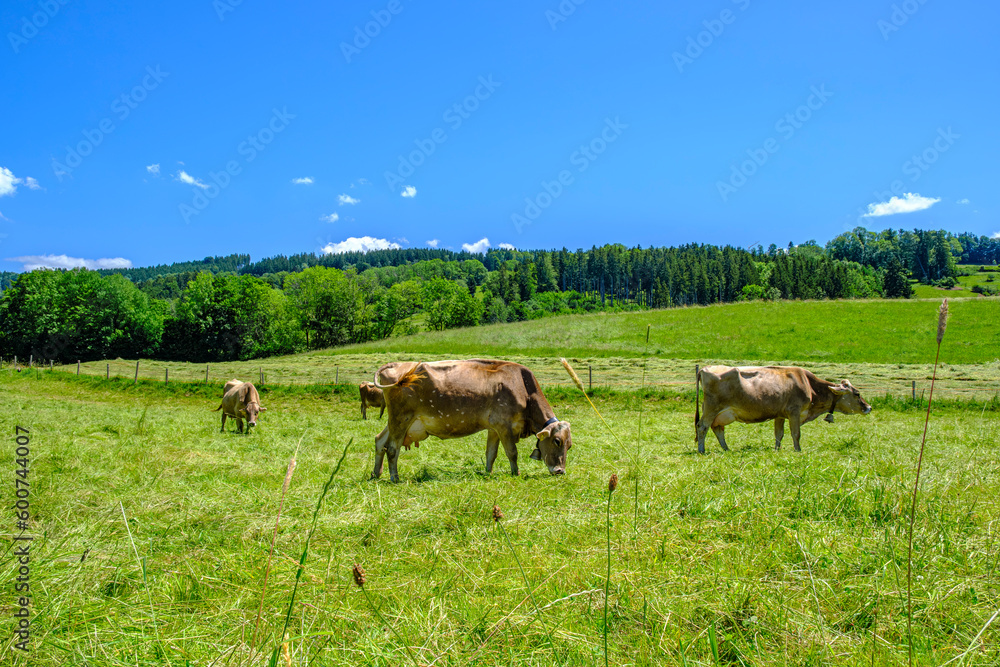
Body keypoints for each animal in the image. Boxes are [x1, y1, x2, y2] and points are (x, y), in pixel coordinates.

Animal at [370, 362, 576, 482]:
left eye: (570, 445)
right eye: (557, 441)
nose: (560, 471)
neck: (522, 386)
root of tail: (398, 364)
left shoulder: (493, 428)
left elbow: (491, 453)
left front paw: (488, 473)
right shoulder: (504, 425)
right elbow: (512, 452)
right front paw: (515, 473)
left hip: (397, 422)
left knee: (380, 441)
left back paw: (375, 474)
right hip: (401, 418)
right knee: (392, 449)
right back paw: (395, 478)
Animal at [696, 366, 868, 454]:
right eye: (857, 393)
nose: (869, 407)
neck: (808, 384)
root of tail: (705, 368)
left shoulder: (779, 415)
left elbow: (779, 434)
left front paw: (777, 450)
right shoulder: (794, 412)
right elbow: (796, 433)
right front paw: (798, 450)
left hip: (720, 413)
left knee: (717, 429)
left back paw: (726, 449)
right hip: (712, 408)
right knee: (702, 427)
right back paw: (701, 450)